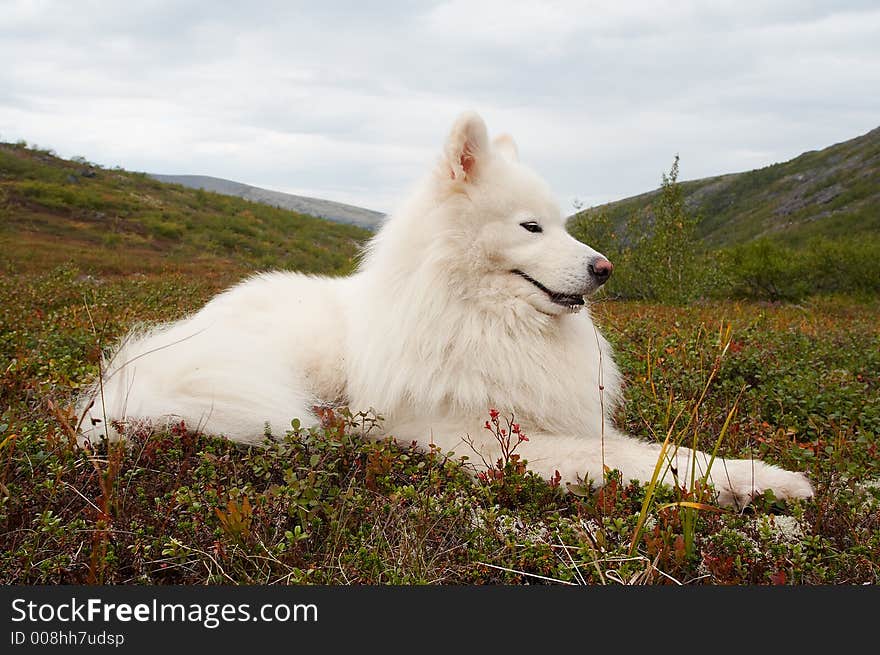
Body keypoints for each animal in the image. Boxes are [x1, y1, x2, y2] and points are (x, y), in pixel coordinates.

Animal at [79, 111, 816, 508]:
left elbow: (659, 451)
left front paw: (759, 478)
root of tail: (150, 356)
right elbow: (644, 459)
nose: (604, 267)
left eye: (564, 225)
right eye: (531, 227)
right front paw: (766, 479)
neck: (484, 319)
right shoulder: (477, 439)